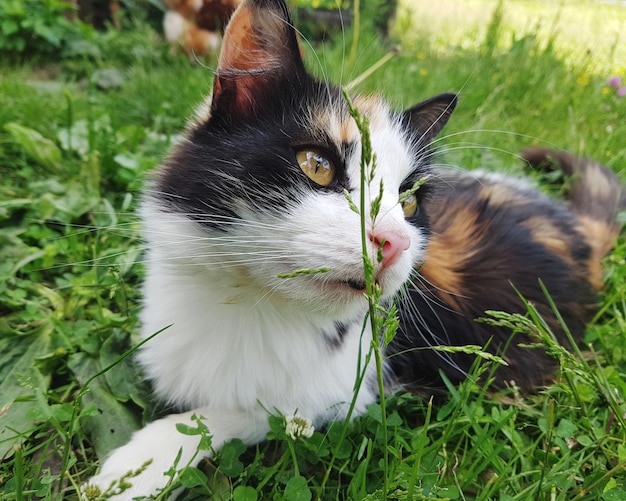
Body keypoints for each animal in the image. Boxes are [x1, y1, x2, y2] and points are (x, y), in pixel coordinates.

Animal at [85, 0, 620, 496]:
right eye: (317, 164)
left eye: (409, 201)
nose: (395, 241)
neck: (248, 303)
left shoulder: (349, 387)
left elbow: (248, 411)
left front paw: (141, 465)